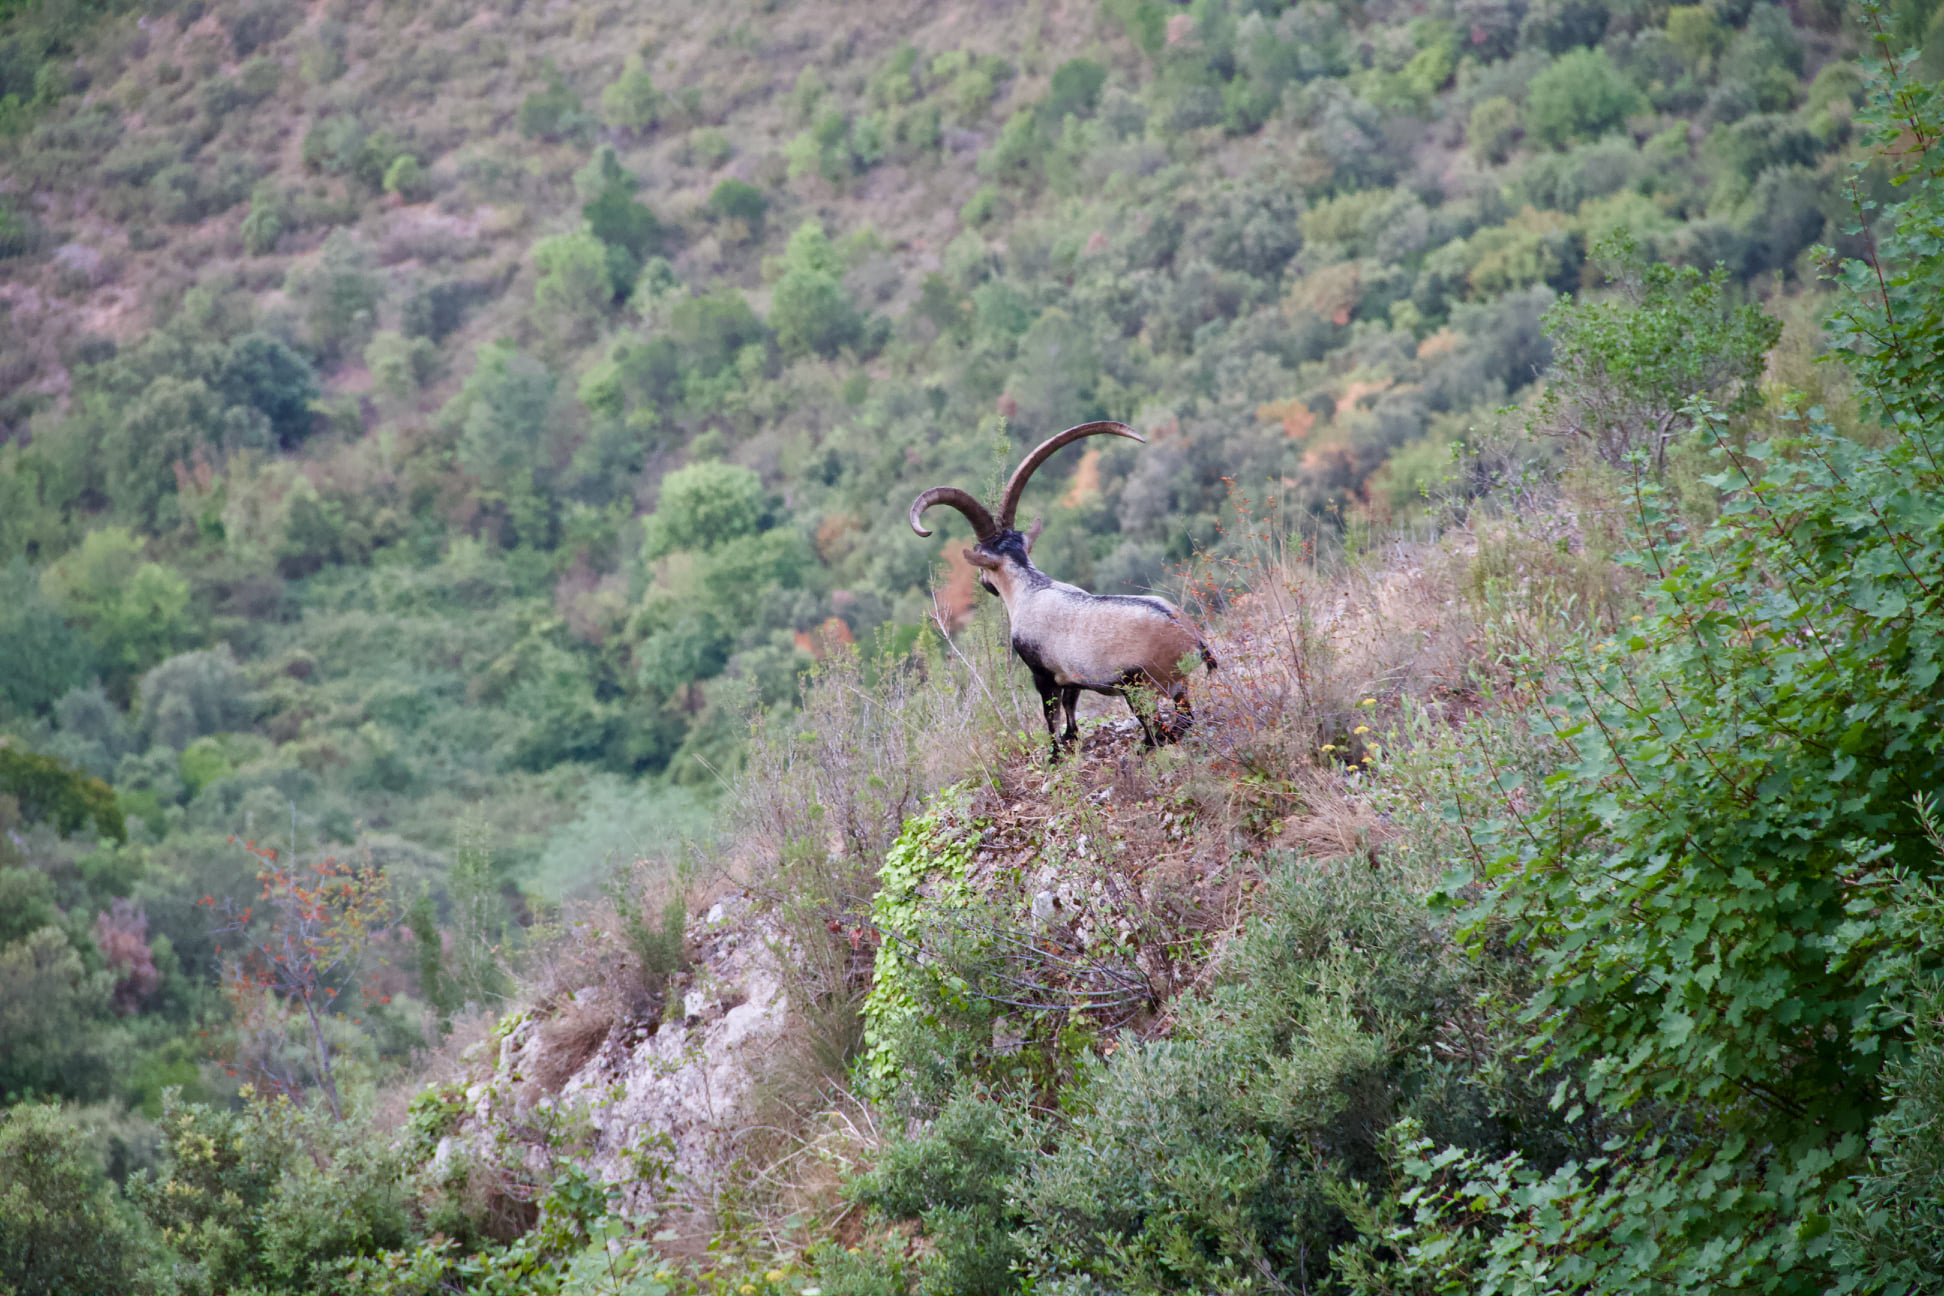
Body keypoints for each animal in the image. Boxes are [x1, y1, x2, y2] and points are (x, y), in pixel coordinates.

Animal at [909, 421, 1213, 753]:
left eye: (981, 559)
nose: (984, 583)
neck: (1030, 590)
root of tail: (1193, 639)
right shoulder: (1071, 676)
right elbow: (1070, 706)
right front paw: (1072, 737)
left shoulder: (1043, 673)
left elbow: (1050, 714)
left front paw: (1055, 753)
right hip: (1172, 685)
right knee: (1183, 716)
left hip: (1141, 683)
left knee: (1167, 721)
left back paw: (1146, 744)